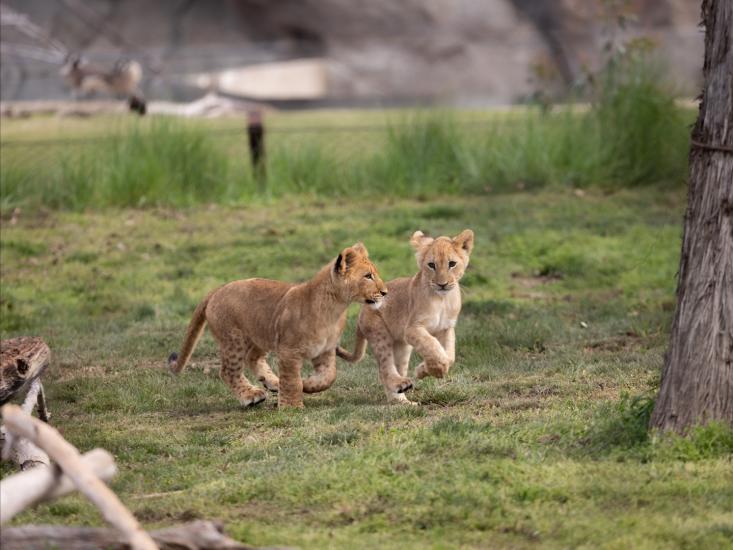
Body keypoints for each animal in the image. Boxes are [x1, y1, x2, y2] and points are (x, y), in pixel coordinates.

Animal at [168, 243, 387, 409]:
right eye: (368, 276)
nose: (385, 292)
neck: (335, 309)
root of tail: (217, 289)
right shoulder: (288, 350)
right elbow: (291, 380)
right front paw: (291, 406)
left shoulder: (324, 350)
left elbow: (328, 377)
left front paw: (308, 385)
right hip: (234, 340)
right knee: (228, 371)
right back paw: (251, 396)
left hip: (260, 333)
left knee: (252, 357)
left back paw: (273, 382)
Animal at [337, 230, 474, 404]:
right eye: (431, 265)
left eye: (452, 264)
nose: (442, 284)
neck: (442, 299)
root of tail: (363, 308)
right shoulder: (412, 329)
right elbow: (432, 346)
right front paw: (429, 370)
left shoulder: (446, 328)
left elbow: (449, 356)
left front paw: (425, 370)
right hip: (380, 335)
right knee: (385, 370)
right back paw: (400, 394)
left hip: (402, 346)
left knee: (397, 368)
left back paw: (402, 399)